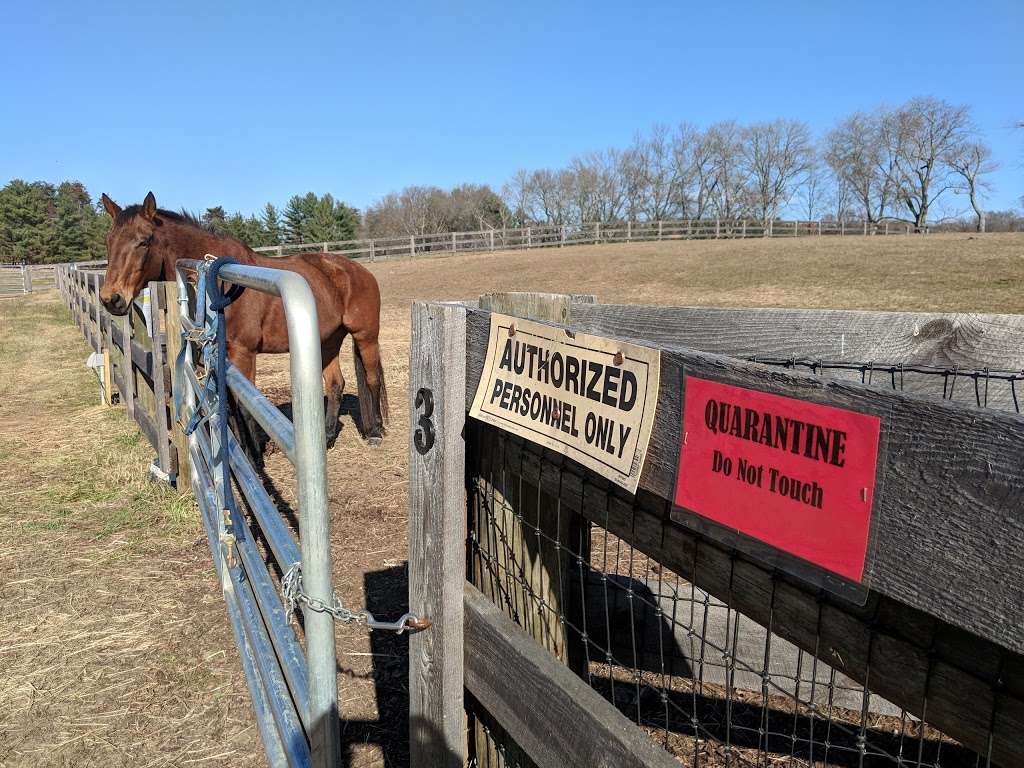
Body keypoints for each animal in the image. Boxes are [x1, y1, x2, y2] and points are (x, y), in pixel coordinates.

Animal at [98, 191, 387, 450]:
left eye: (144, 241)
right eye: (109, 241)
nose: (111, 298)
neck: (220, 282)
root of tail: (354, 269)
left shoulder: (244, 354)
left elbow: (244, 406)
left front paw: (255, 454)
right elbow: (229, 405)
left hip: (366, 336)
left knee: (372, 378)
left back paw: (376, 431)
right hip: (327, 341)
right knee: (336, 384)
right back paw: (327, 438)